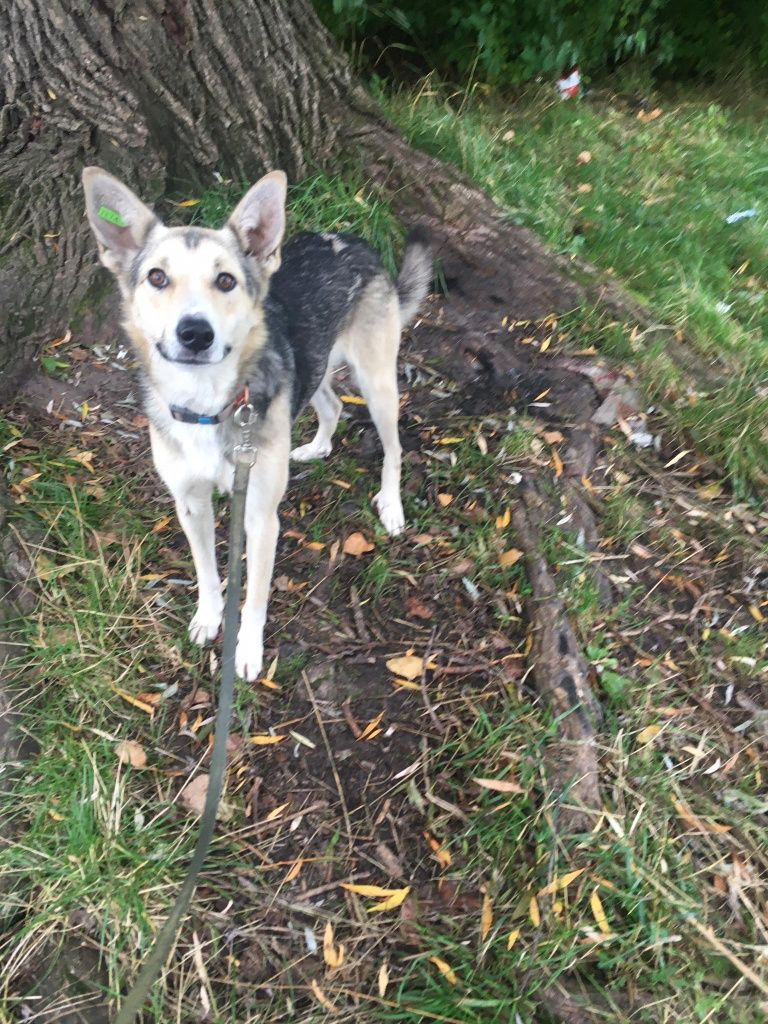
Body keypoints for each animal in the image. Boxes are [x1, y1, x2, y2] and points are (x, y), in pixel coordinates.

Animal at [83, 165, 434, 679]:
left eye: (226, 280)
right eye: (157, 277)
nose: (195, 332)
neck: (207, 403)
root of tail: (350, 240)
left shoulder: (260, 516)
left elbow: (253, 596)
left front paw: (245, 650)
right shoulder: (190, 504)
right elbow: (208, 572)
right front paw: (209, 617)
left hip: (377, 381)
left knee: (393, 447)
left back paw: (391, 504)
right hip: (313, 367)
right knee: (331, 405)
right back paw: (316, 447)